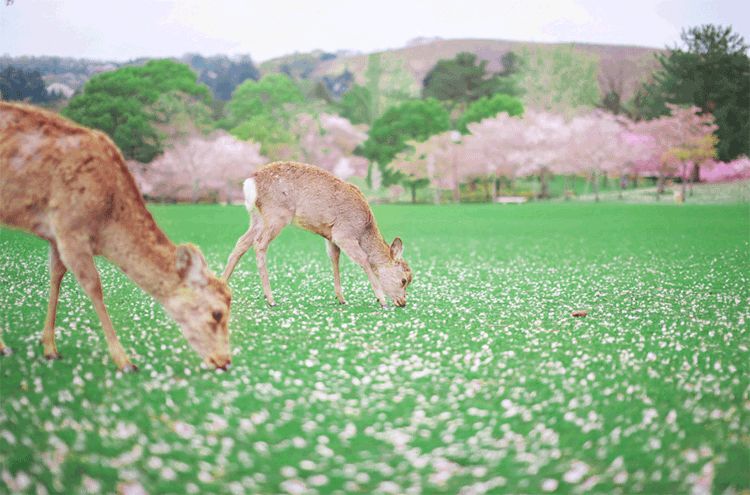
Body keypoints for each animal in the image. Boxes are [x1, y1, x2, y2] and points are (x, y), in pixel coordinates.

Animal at [0, 103, 234, 372]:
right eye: (217, 313)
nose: (224, 361)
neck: (105, 226)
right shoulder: (70, 227)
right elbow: (94, 285)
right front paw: (125, 361)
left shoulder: (55, 234)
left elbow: (56, 276)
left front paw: (50, 348)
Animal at [223, 163, 414, 308]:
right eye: (404, 280)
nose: (403, 302)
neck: (363, 230)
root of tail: (250, 183)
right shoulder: (343, 233)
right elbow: (363, 259)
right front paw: (381, 300)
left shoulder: (331, 237)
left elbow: (334, 259)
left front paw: (341, 298)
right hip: (277, 214)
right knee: (259, 244)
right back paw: (270, 299)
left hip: (257, 217)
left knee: (241, 242)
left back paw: (222, 284)